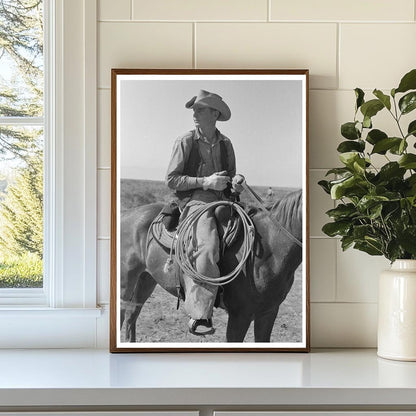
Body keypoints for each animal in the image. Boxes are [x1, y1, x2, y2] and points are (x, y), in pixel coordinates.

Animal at [119, 190, 302, 342]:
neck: (271, 247)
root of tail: (126, 213)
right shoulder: (240, 316)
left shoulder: (268, 313)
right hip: (126, 281)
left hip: (146, 279)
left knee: (132, 314)